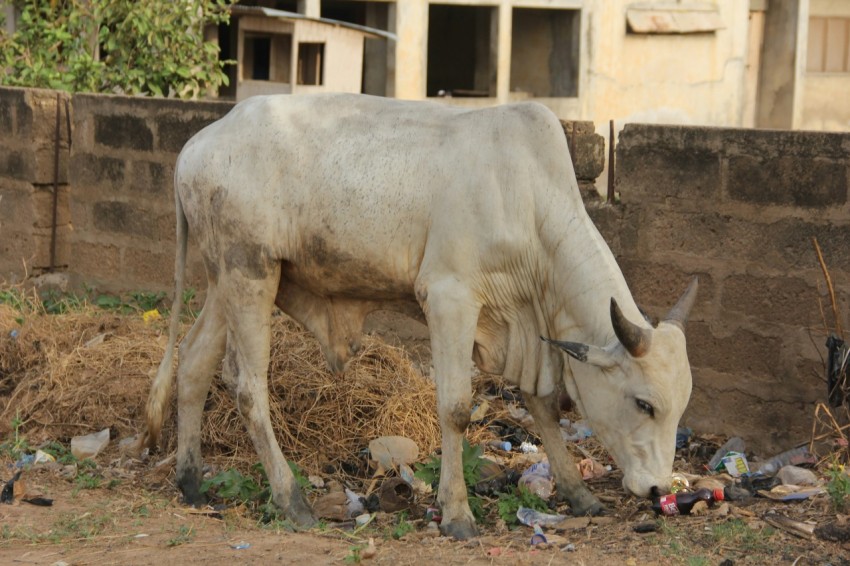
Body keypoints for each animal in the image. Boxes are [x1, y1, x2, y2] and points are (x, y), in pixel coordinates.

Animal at [141, 94, 696, 540]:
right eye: (644, 404)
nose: (658, 490)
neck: (528, 202)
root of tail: (197, 144)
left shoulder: (529, 333)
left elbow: (543, 406)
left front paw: (580, 495)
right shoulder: (450, 298)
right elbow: (456, 409)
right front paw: (457, 514)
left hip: (228, 278)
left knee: (194, 362)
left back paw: (191, 481)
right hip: (249, 272)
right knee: (246, 384)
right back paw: (291, 498)